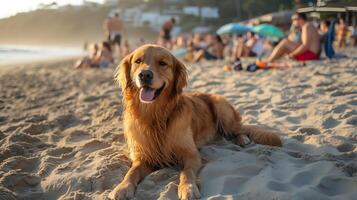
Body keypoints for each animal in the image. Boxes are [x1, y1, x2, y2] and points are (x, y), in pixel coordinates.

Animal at [108, 44, 280, 199]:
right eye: (138, 61)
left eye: (162, 63)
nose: (144, 75)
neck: (155, 116)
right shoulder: (143, 156)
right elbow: (131, 172)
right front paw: (122, 188)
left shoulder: (191, 154)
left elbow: (186, 172)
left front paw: (188, 188)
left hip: (222, 109)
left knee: (240, 130)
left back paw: (243, 139)